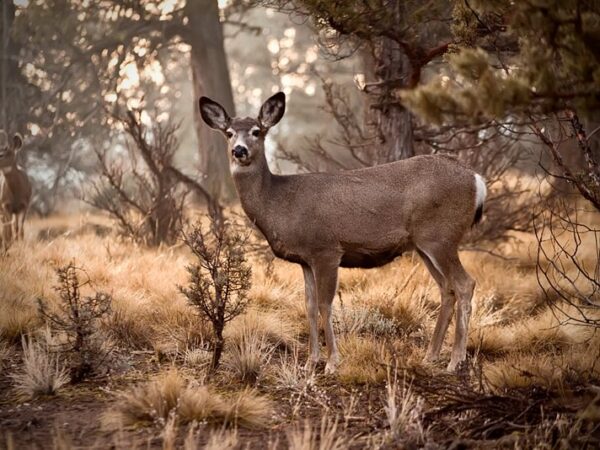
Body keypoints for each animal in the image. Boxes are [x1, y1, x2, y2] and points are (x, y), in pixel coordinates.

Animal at [199, 93, 486, 374]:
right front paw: (310, 362)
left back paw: (455, 361)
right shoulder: (305, 259)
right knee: (447, 288)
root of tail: (477, 179)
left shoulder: (326, 249)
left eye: (257, 132)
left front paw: (331, 363)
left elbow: (326, 305)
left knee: (465, 284)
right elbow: (309, 306)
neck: (279, 202)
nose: (239, 150)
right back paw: (431, 356)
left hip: (441, 236)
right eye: (228, 133)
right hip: (424, 244)